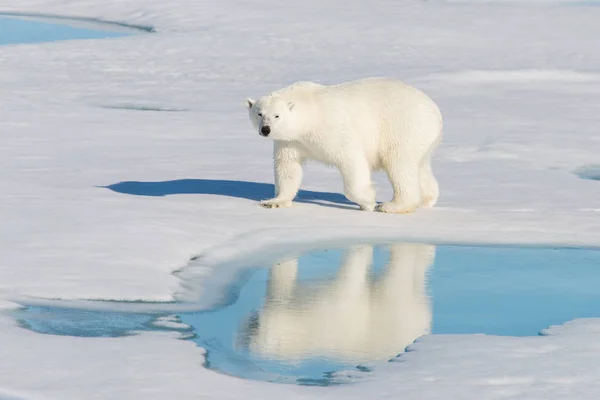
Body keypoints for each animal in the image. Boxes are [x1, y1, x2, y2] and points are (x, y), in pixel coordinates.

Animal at [244, 77, 440, 212]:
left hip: (403, 127)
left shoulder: (333, 129)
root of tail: (435, 111)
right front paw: (273, 202)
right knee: (420, 166)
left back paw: (392, 205)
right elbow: (288, 167)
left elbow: (351, 160)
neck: (311, 111)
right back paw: (426, 200)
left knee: (399, 164)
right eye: (259, 113)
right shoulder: (290, 141)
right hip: (422, 138)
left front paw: (368, 201)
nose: (266, 129)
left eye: (277, 115)